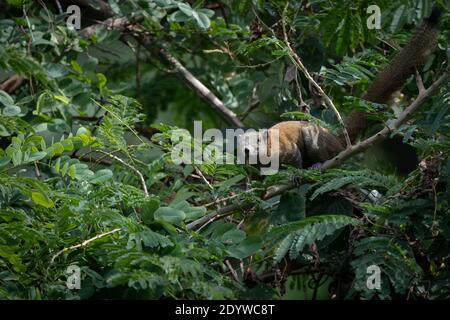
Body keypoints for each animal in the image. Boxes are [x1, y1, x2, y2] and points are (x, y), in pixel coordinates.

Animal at [241, 7, 442, 169]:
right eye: (242, 144)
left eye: (258, 141)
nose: (247, 150)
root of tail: (337, 140)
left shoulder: (284, 149)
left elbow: (295, 158)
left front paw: (295, 176)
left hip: (324, 144)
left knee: (311, 138)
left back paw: (318, 163)